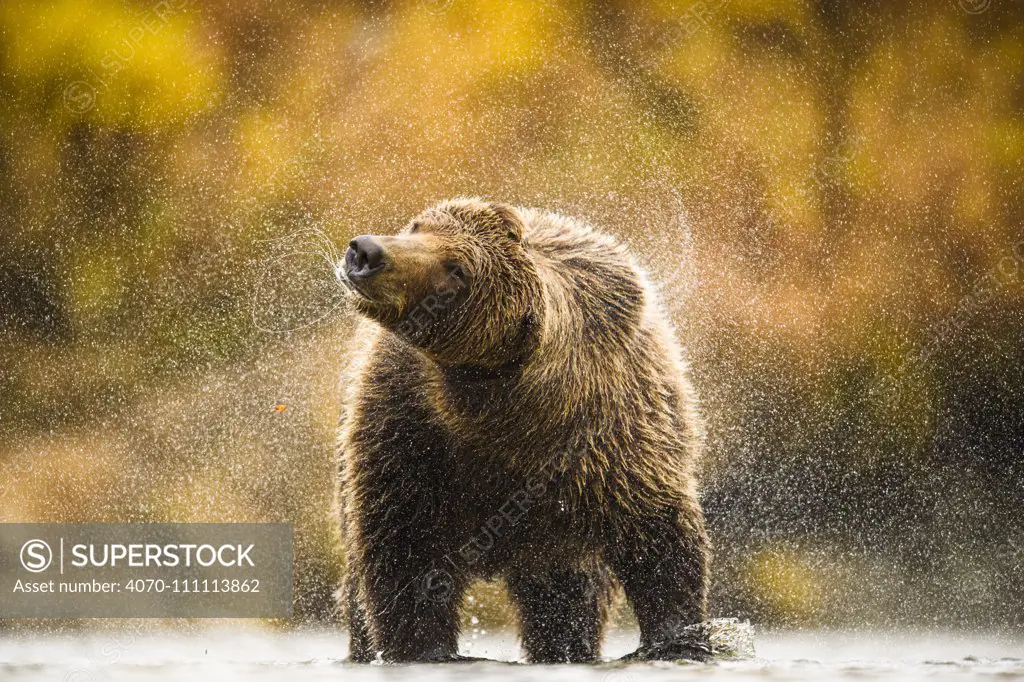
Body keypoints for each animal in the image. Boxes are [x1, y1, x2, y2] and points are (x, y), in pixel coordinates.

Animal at [331, 197, 708, 663]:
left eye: (457, 269)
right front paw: (421, 647)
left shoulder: (613, 438)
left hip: (559, 542)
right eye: (417, 225)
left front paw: (678, 639)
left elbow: (661, 541)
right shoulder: (410, 424)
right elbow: (403, 550)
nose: (366, 251)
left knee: (565, 599)